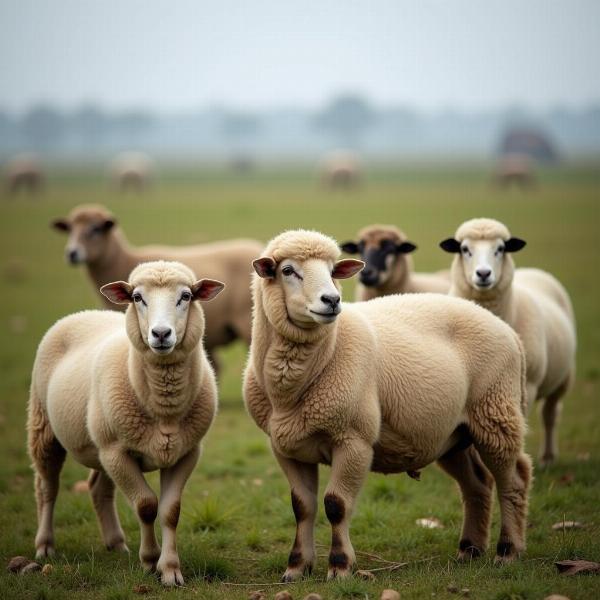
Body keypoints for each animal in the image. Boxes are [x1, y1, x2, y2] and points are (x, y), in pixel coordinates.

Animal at [28, 260, 225, 584]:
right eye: (137, 298)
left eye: (185, 296)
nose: (161, 334)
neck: (164, 409)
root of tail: (85, 313)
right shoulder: (117, 452)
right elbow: (146, 506)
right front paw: (150, 560)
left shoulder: (185, 452)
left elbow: (170, 511)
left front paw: (170, 570)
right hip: (46, 426)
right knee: (47, 486)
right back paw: (45, 546)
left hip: (100, 445)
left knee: (98, 488)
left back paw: (116, 543)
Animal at [241, 229, 532, 580]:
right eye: (288, 270)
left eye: (332, 270)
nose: (332, 300)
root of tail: (509, 332)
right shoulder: (286, 447)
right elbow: (302, 506)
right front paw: (296, 567)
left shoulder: (354, 440)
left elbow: (336, 505)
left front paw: (340, 566)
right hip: (453, 433)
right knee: (477, 484)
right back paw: (470, 549)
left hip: (496, 412)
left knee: (513, 480)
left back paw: (508, 551)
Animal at [440, 218, 576, 466]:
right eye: (465, 249)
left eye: (500, 249)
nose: (483, 274)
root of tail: (533, 271)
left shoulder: (527, 385)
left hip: (562, 378)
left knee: (550, 414)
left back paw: (548, 457)